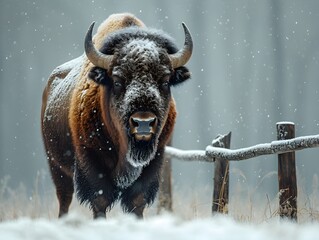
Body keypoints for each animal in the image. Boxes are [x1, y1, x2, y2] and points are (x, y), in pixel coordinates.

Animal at [41, 13, 194, 219]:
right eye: (118, 81)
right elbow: (100, 199)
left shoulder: (155, 160)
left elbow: (138, 201)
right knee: (64, 198)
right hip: (56, 167)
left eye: (164, 81)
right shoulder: (91, 161)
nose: (143, 123)